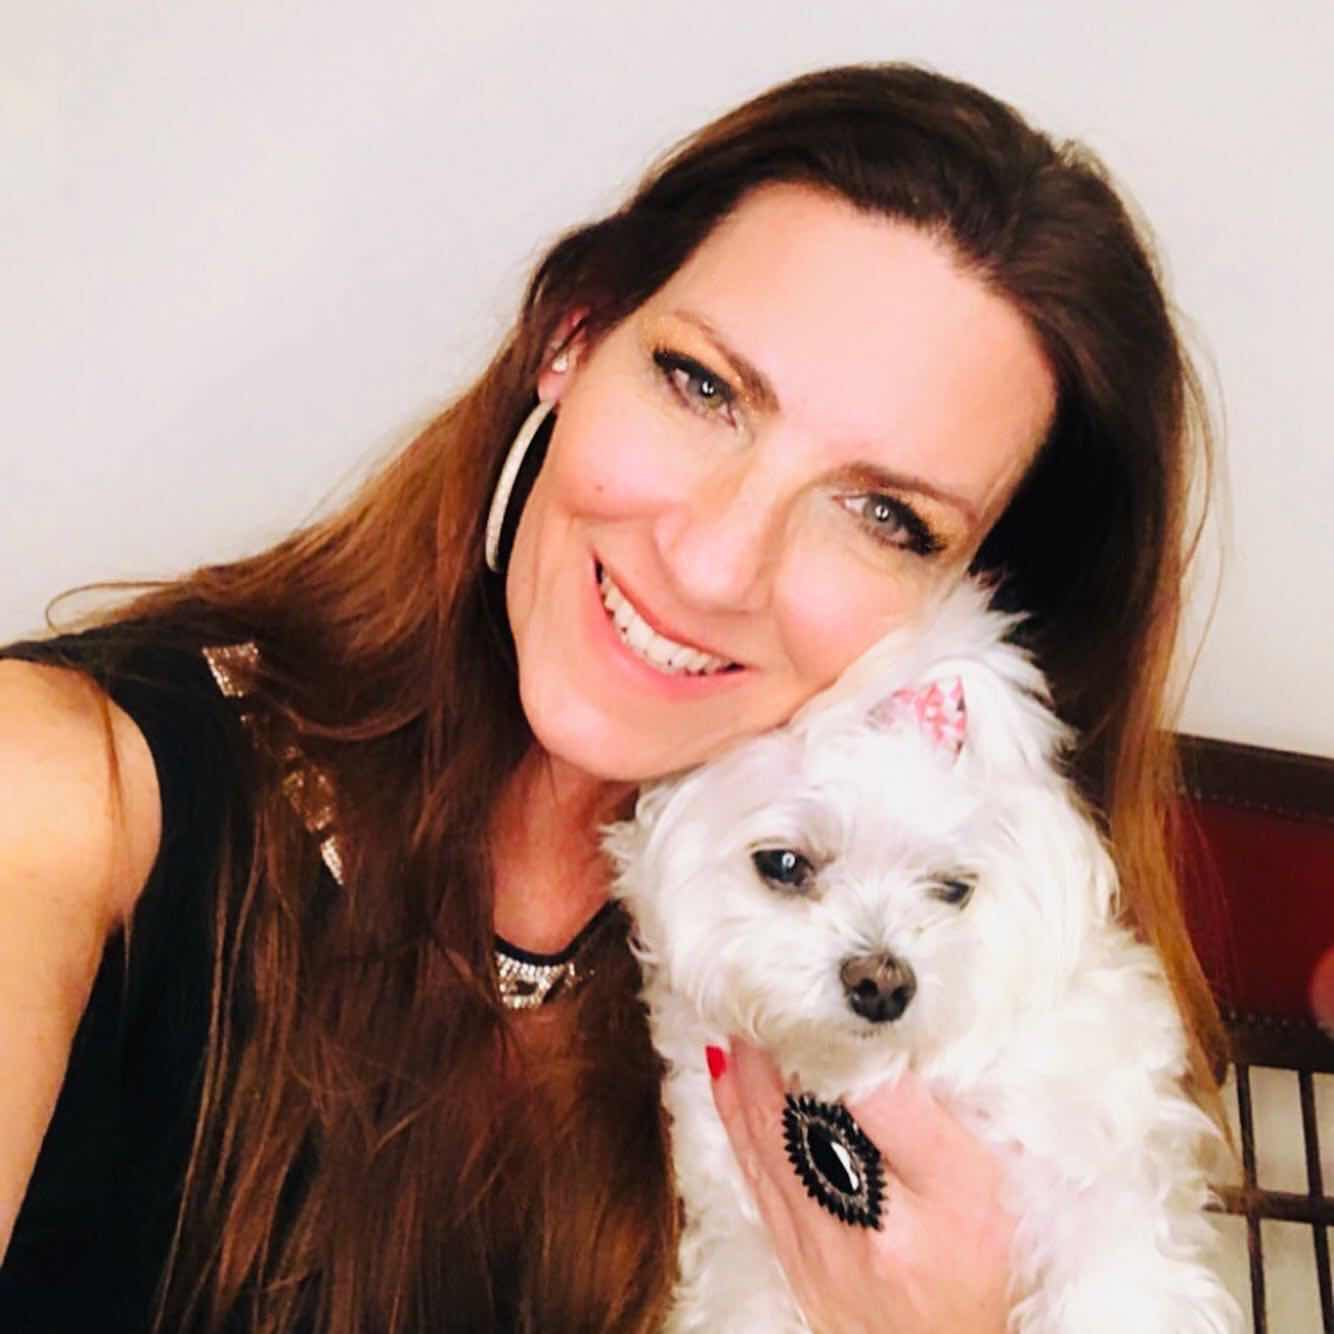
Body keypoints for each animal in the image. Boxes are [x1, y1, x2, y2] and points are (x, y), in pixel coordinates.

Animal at [606, 578, 1238, 1333]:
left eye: (953, 888)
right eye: (784, 864)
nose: (880, 983)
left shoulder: (1099, 1152)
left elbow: (1117, 1267)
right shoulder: (745, 1237)